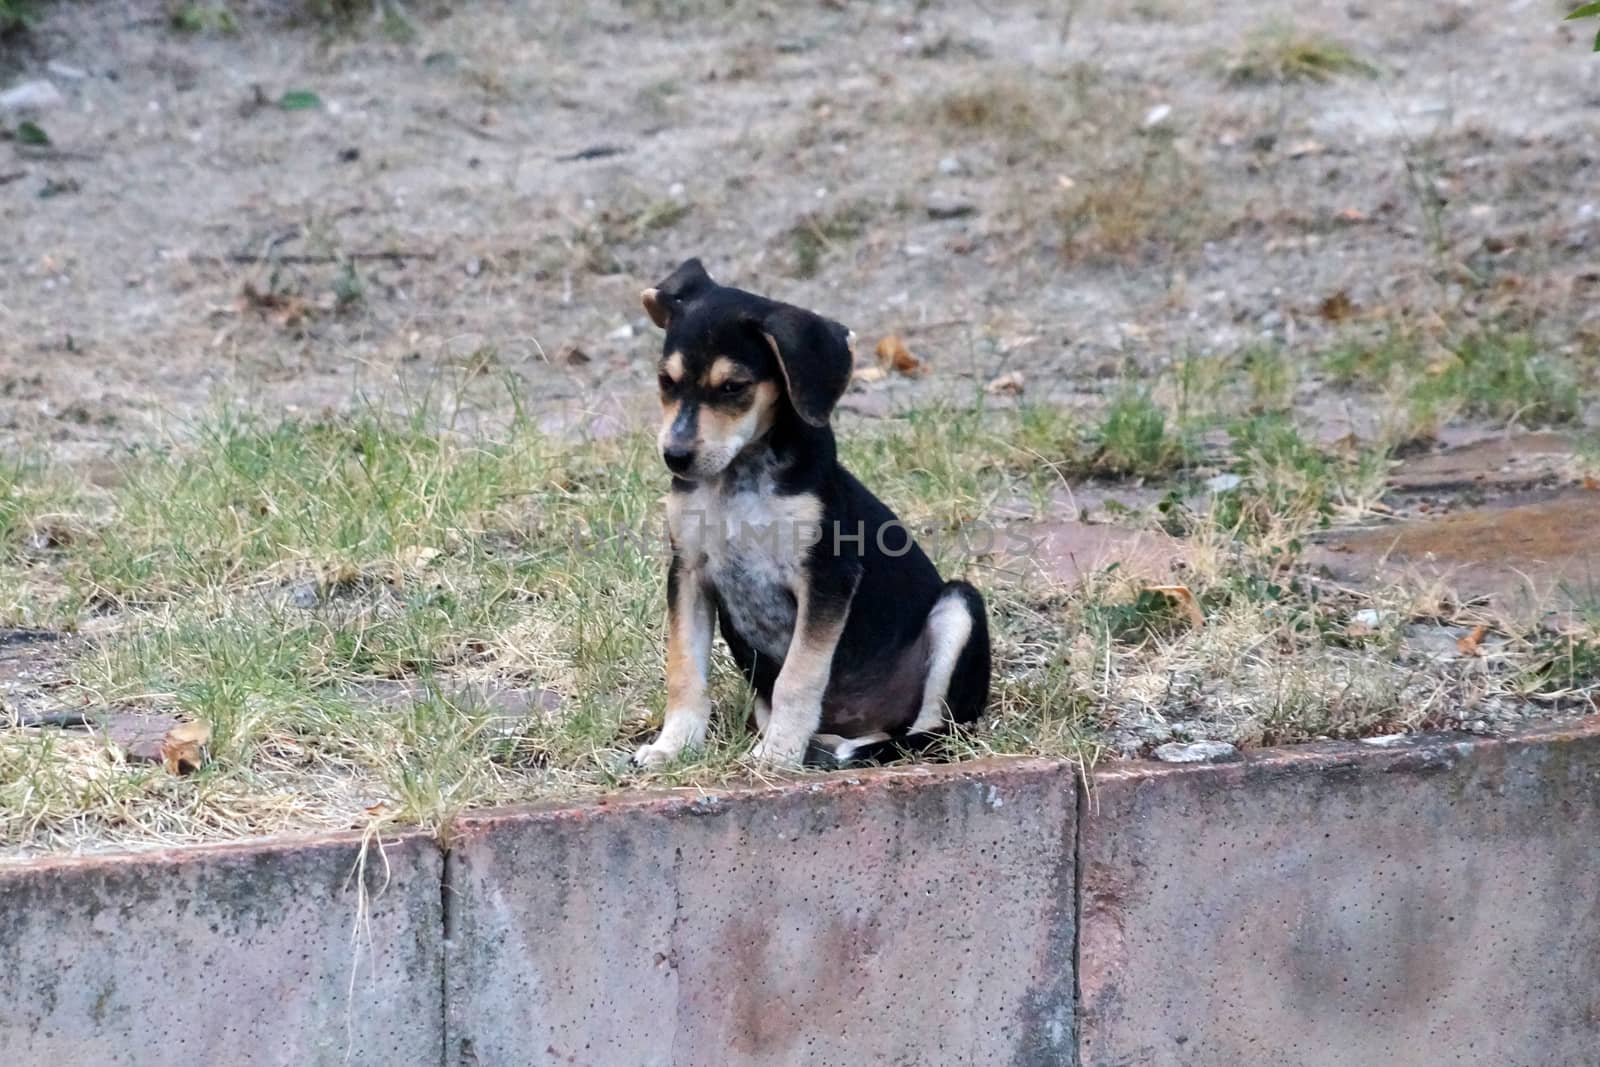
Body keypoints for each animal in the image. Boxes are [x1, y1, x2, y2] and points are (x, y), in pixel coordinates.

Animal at [627, 262, 985, 771]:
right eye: (666, 381)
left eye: (734, 387)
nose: (675, 457)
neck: (740, 478)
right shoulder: (689, 573)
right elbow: (684, 672)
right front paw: (674, 746)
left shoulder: (826, 577)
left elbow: (798, 675)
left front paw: (778, 754)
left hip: (960, 607)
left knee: (932, 732)